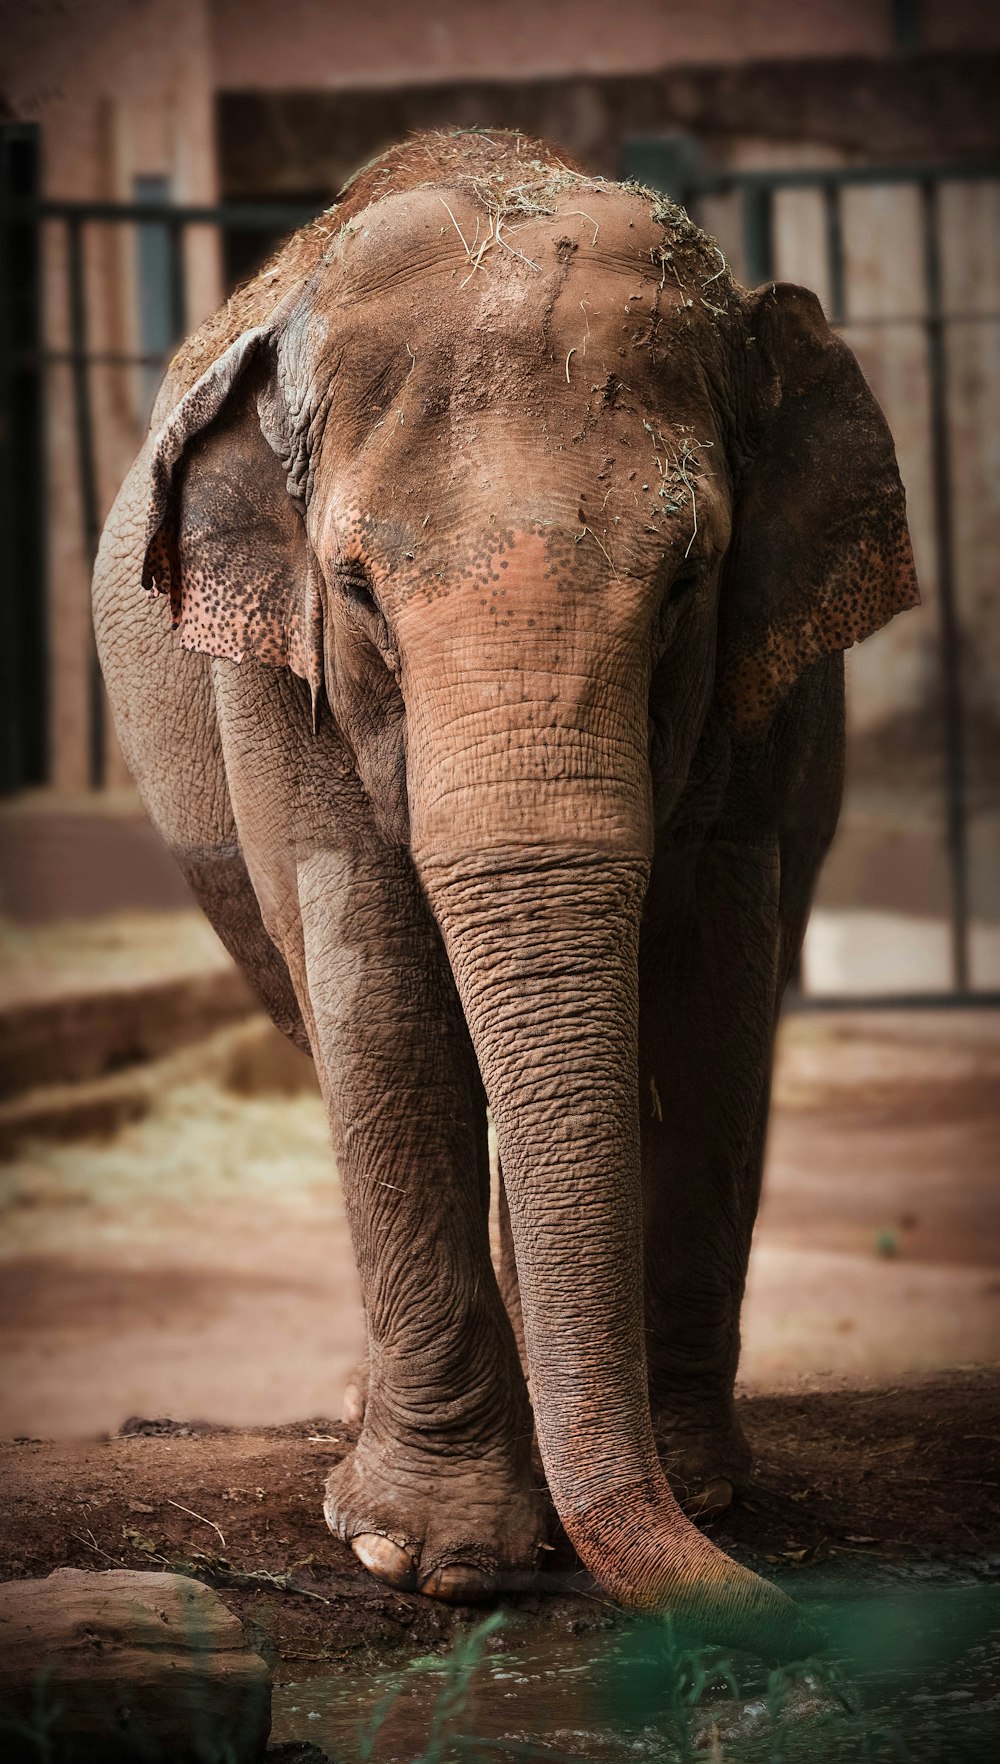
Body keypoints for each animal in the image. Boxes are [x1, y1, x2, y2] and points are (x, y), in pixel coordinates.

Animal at [93, 127, 924, 1651]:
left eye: (687, 581)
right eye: (357, 588)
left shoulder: (770, 695)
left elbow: (713, 992)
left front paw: (699, 1501)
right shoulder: (273, 679)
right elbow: (378, 991)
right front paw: (430, 1558)